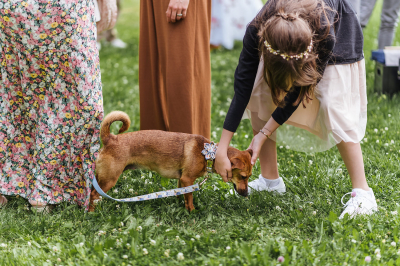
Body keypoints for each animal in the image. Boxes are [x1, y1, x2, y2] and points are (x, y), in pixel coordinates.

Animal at [90, 111, 253, 211]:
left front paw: (182, 205)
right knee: (93, 194)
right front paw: (192, 211)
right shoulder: (188, 179)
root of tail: (110, 138)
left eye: (249, 177)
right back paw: (92, 212)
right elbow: (190, 198)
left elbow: (183, 195)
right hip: (110, 178)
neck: (208, 153)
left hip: (102, 177)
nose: (246, 194)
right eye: (243, 177)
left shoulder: (182, 180)